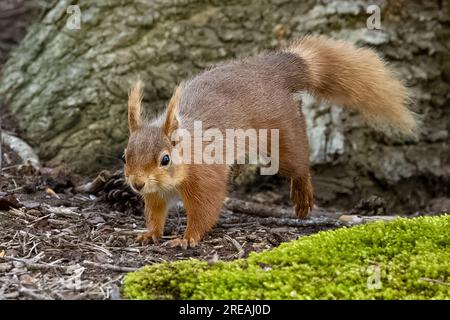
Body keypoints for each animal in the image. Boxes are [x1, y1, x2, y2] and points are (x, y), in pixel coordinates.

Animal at [123, 35, 418, 250]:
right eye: (124, 156)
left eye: (165, 159)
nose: (137, 184)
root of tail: (270, 71)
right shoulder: (156, 194)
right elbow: (155, 213)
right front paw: (150, 233)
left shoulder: (205, 176)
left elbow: (205, 210)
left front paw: (188, 237)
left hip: (281, 133)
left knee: (299, 162)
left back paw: (302, 195)